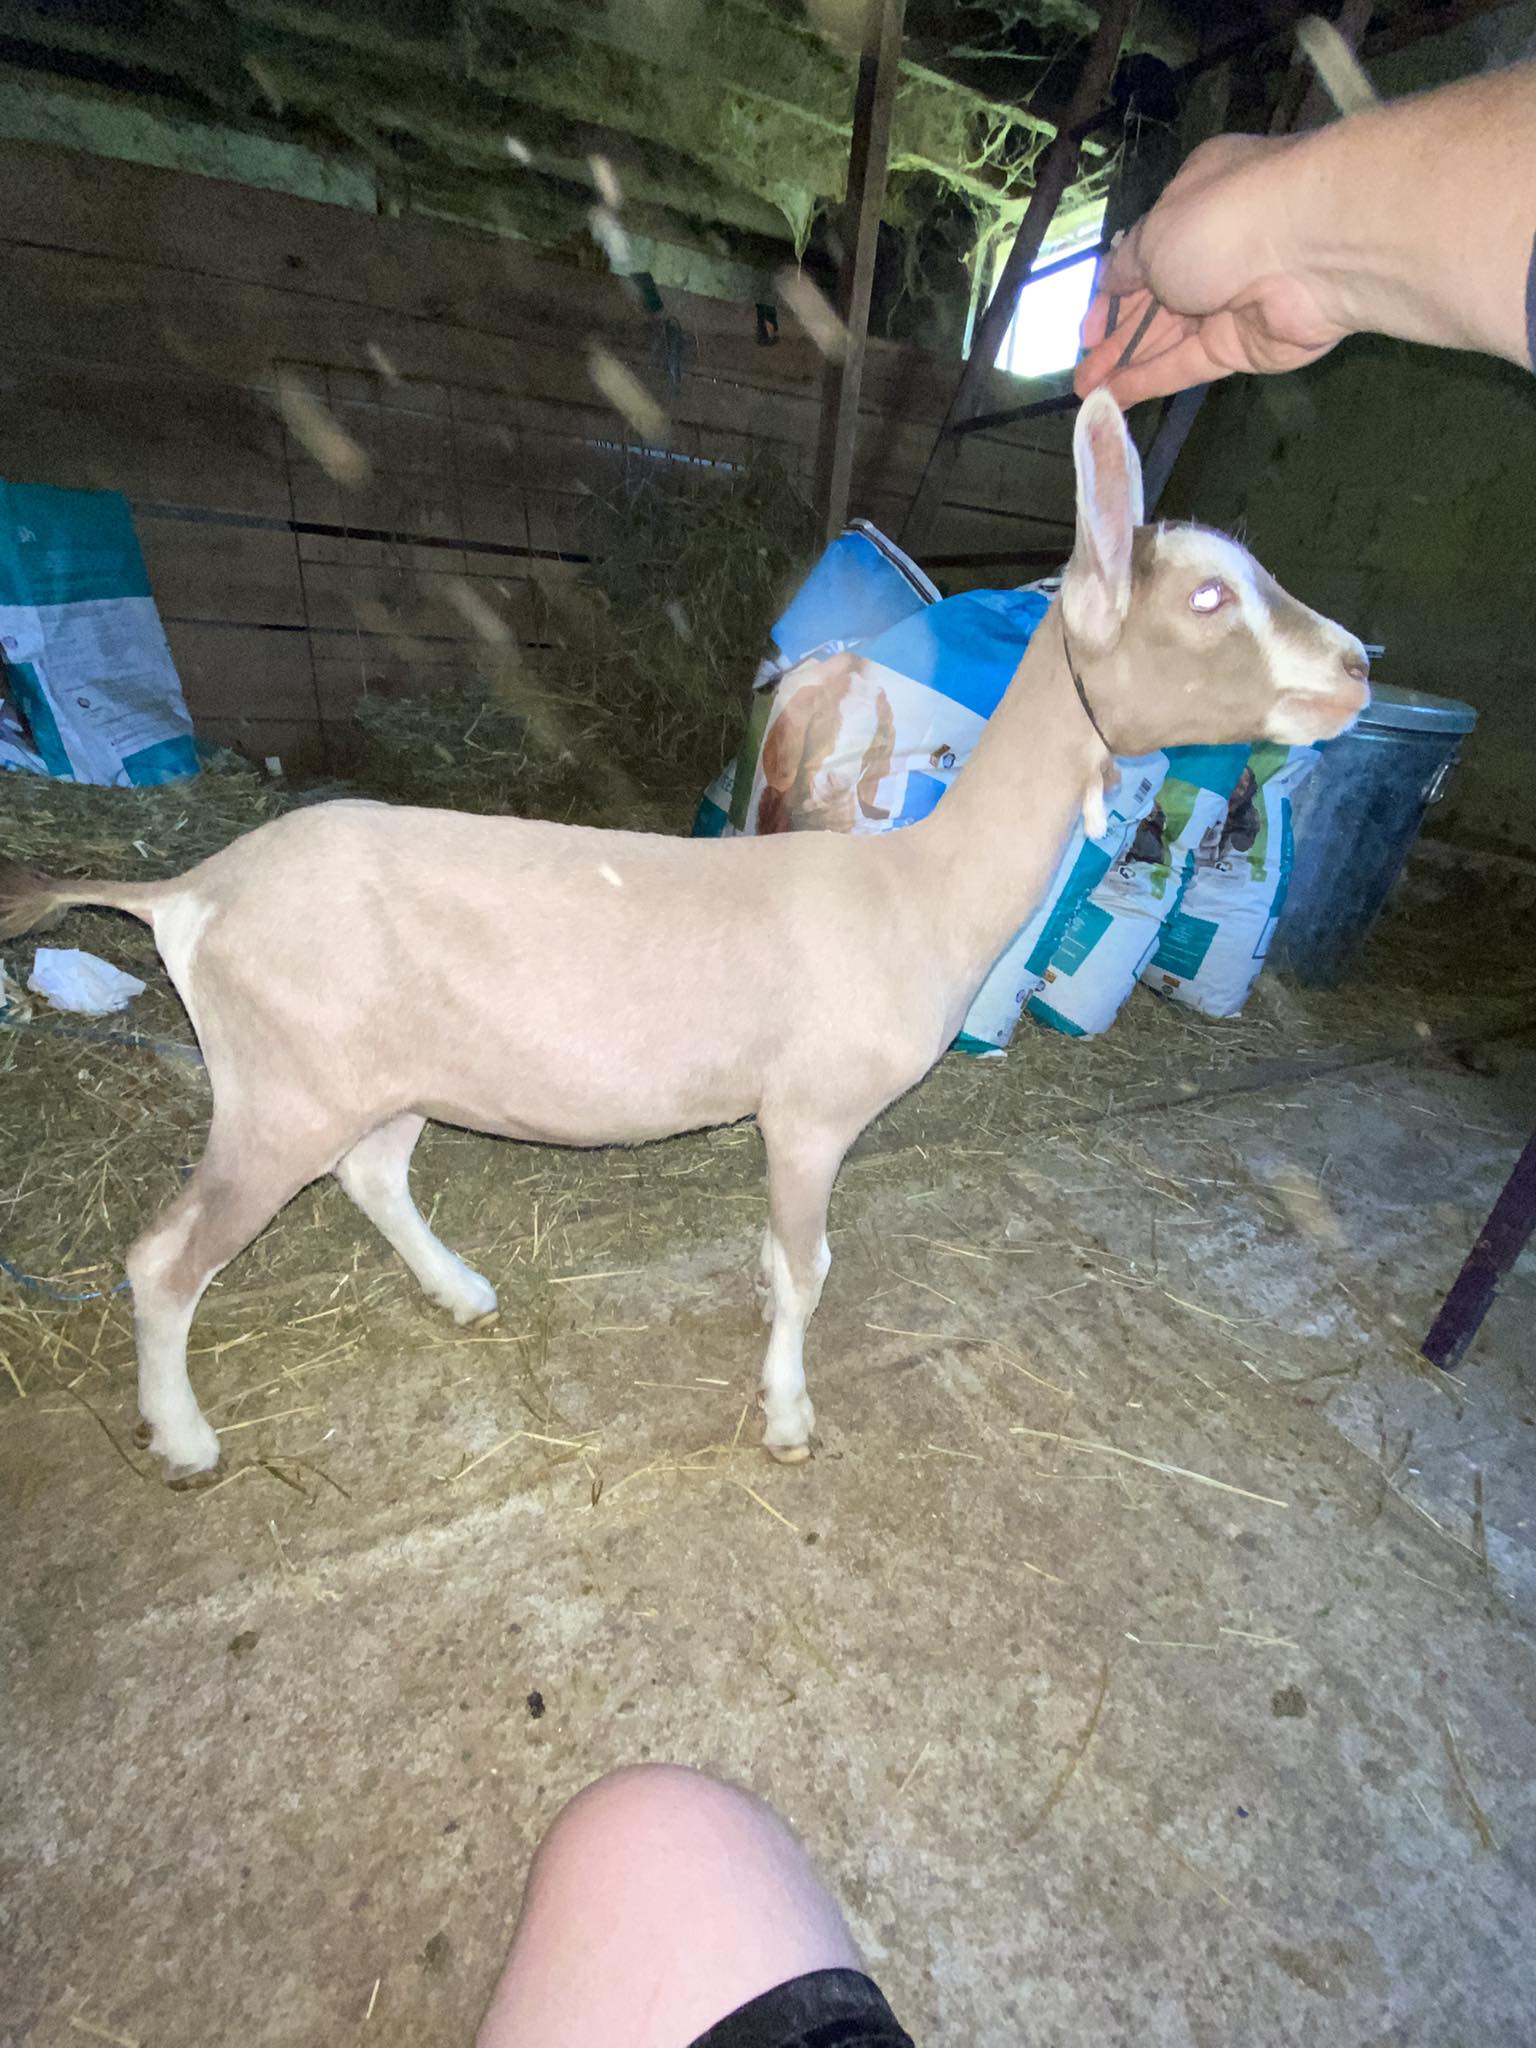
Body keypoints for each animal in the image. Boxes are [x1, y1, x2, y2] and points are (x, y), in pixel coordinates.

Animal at [0, 393, 1369, 1482]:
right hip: (279, 1087)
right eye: (1208, 596)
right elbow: (806, 1263)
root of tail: (189, 891)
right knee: (165, 1255)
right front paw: (790, 1418)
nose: (1360, 662)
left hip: (376, 1074)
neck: (916, 889)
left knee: (372, 1174)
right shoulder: (811, 1111)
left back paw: (464, 1292)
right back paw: (186, 1440)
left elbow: (779, 1259)